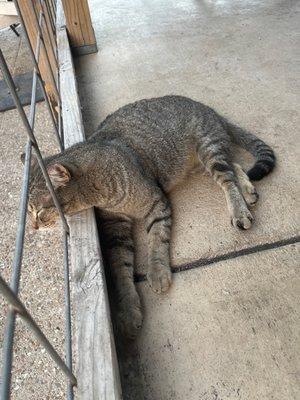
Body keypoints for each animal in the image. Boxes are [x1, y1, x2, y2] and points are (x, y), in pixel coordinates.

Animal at [22, 95, 276, 340]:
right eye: (28, 211)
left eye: (39, 211)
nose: (32, 227)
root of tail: (206, 108)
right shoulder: (115, 227)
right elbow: (120, 267)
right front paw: (128, 310)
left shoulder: (157, 203)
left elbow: (157, 240)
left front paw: (157, 271)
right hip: (196, 163)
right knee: (234, 166)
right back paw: (248, 191)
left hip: (208, 149)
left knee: (227, 178)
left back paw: (239, 208)